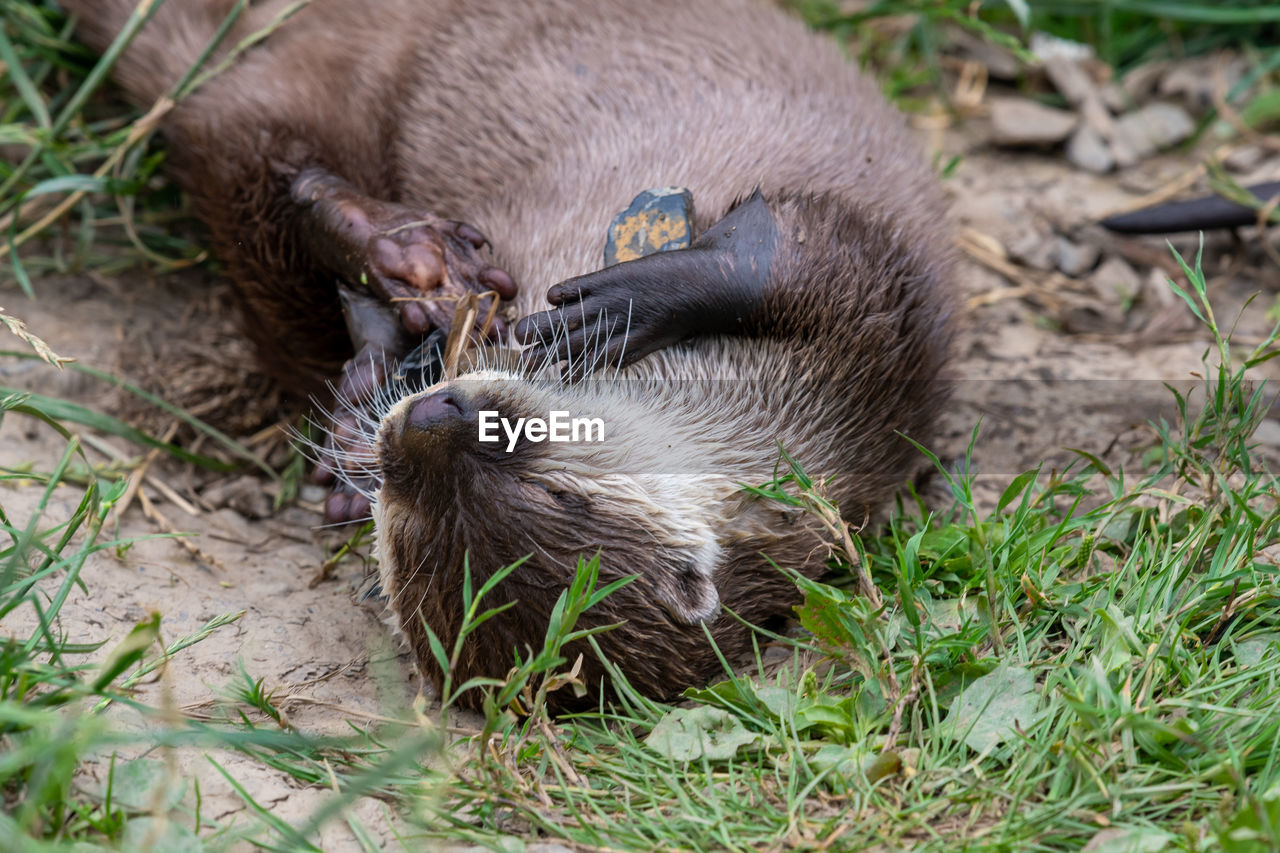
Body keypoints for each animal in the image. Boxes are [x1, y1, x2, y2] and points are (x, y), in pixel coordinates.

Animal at [67, 0, 952, 701]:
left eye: (555, 494)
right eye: (401, 525)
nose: (428, 418)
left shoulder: (865, 380)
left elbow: (833, 264)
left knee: (235, 143)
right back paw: (400, 258)